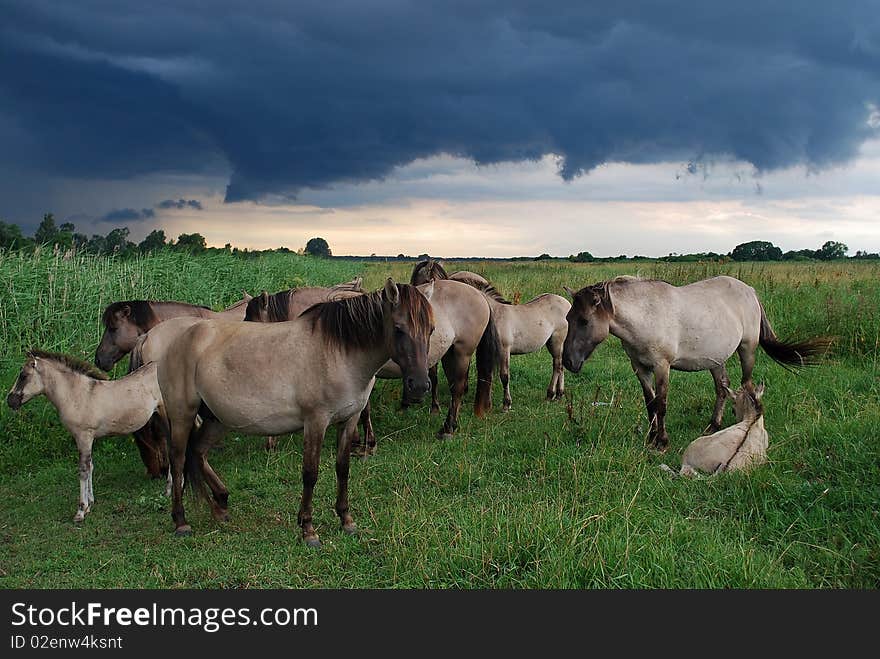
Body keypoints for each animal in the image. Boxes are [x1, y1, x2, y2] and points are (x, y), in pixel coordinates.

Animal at [6, 348, 163, 524]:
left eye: (23, 375)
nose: (10, 401)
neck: (77, 394)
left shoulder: (83, 436)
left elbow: (83, 470)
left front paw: (81, 510)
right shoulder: (88, 439)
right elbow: (91, 466)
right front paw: (90, 503)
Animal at [156, 280, 434, 548]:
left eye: (430, 330)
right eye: (399, 328)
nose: (420, 385)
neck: (337, 353)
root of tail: (174, 340)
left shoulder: (349, 420)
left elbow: (343, 468)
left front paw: (346, 520)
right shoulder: (316, 422)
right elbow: (310, 474)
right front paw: (308, 530)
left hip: (216, 419)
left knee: (197, 452)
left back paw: (219, 506)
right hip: (182, 415)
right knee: (179, 460)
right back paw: (181, 521)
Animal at [410, 260, 568, 410]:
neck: (494, 313)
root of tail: (566, 302)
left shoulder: (504, 350)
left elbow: (504, 376)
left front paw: (506, 404)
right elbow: (490, 375)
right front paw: (488, 403)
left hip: (557, 341)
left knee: (557, 365)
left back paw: (551, 394)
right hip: (553, 343)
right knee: (560, 366)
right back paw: (559, 394)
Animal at [564, 276, 832, 452]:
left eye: (584, 320)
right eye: (568, 317)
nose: (568, 361)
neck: (646, 314)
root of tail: (750, 290)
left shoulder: (662, 367)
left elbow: (661, 404)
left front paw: (662, 442)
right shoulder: (640, 368)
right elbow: (650, 404)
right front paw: (651, 438)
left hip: (747, 350)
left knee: (746, 385)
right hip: (716, 358)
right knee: (723, 387)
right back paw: (714, 425)